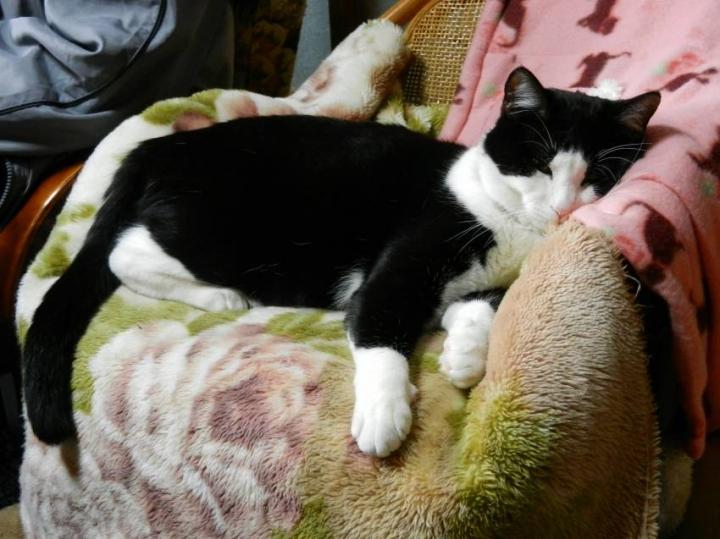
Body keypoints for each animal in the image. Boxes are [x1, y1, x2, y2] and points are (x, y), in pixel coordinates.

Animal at [23, 67, 660, 456]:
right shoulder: (399, 269)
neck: (512, 231)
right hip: (219, 227)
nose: (562, 209)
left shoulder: (481, 282)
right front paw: (384, 415)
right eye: (542, 165)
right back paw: (220, 294)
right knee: (122, 251)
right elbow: (379, 329)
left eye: (600, 175)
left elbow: (481, 304)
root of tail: (158, 146)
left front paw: (463, 355)